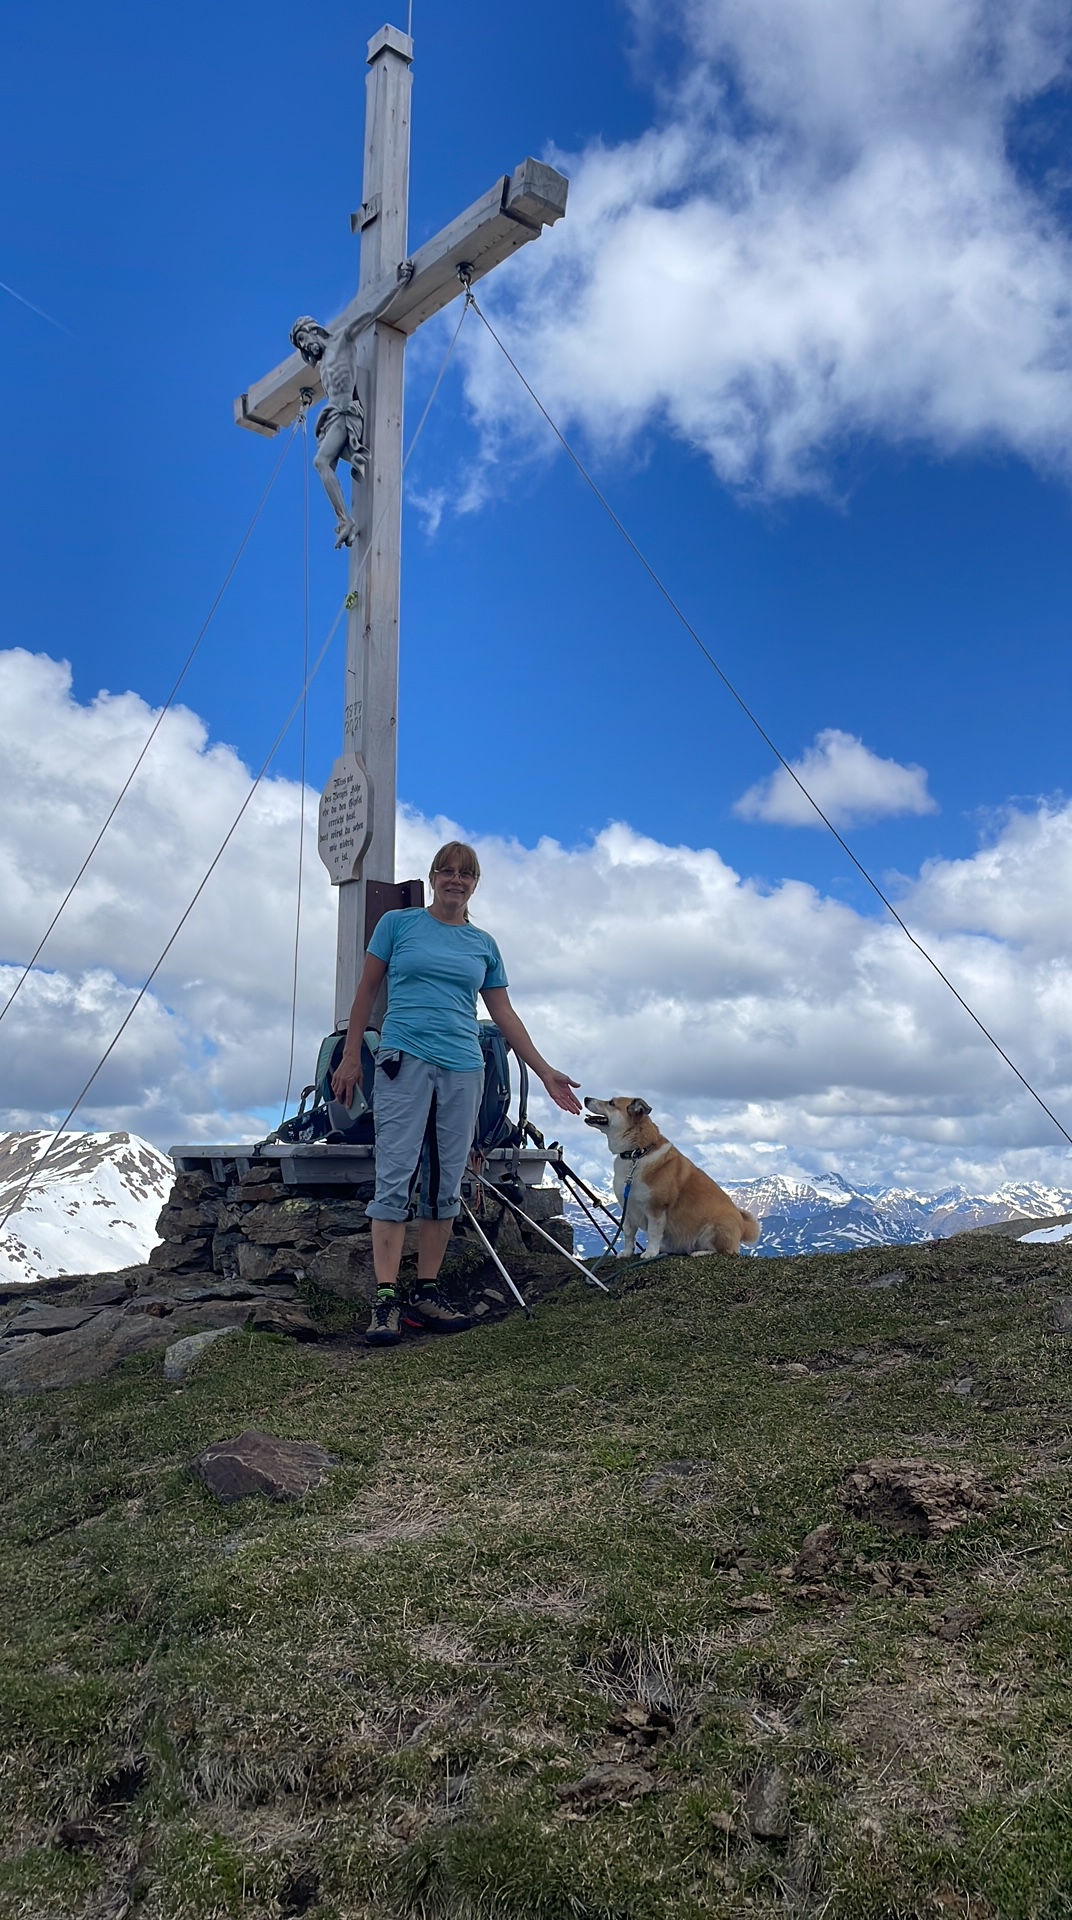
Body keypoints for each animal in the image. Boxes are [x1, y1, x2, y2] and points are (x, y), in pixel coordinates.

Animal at [587, 1098, 764, 1259]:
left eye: (611, 1103)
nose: (586, 1098)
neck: (636, 1154)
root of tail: (743, 1227)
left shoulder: (656, 1208)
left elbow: (653, 1234)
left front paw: (650, 1252)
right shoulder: (628, 1208)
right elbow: (629, 1234)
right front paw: (627, 1252)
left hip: (715, 1228)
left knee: (724, 1251)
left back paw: (700, 1252)